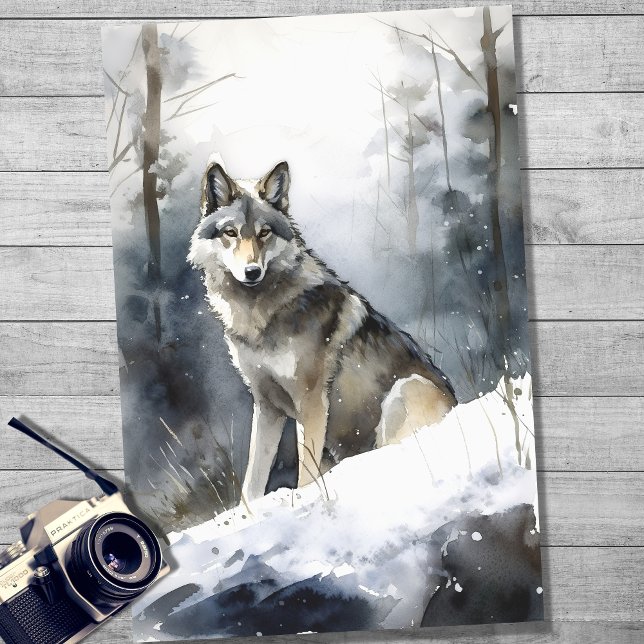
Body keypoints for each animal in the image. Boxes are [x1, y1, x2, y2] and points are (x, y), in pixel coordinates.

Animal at [188, 161, 457, 501]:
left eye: (264, 233)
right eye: (230, 233)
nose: (252, 271)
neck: (261, 314)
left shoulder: (312, 402)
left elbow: (305, 474)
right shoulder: (266, 406)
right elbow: (253, 482)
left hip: (404, 392)